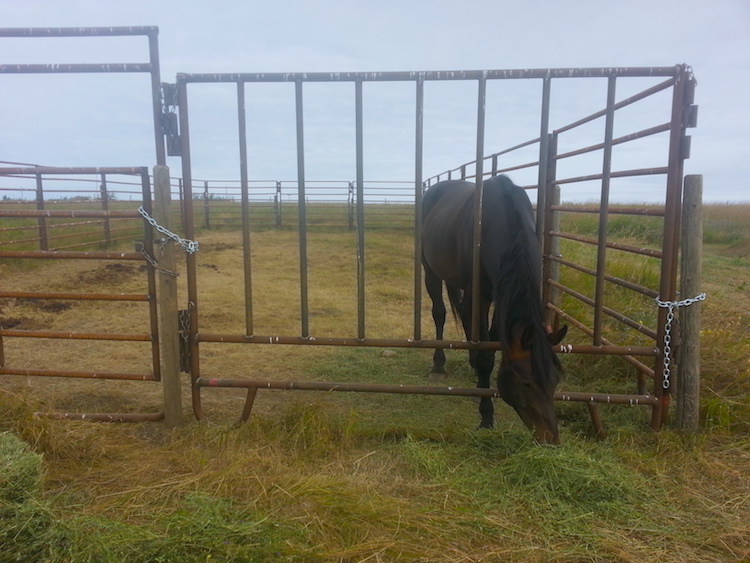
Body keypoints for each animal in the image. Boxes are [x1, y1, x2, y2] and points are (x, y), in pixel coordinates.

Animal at [424, 174, 568, 442]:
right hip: (430, 270)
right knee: (439, 313)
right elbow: (485, 356)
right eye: (525, 382)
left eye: (555, 381)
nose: (550, 438)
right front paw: (486, 417)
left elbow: (491, 338)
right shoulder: (478, 296)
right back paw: (438, 365)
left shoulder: (501, 294)